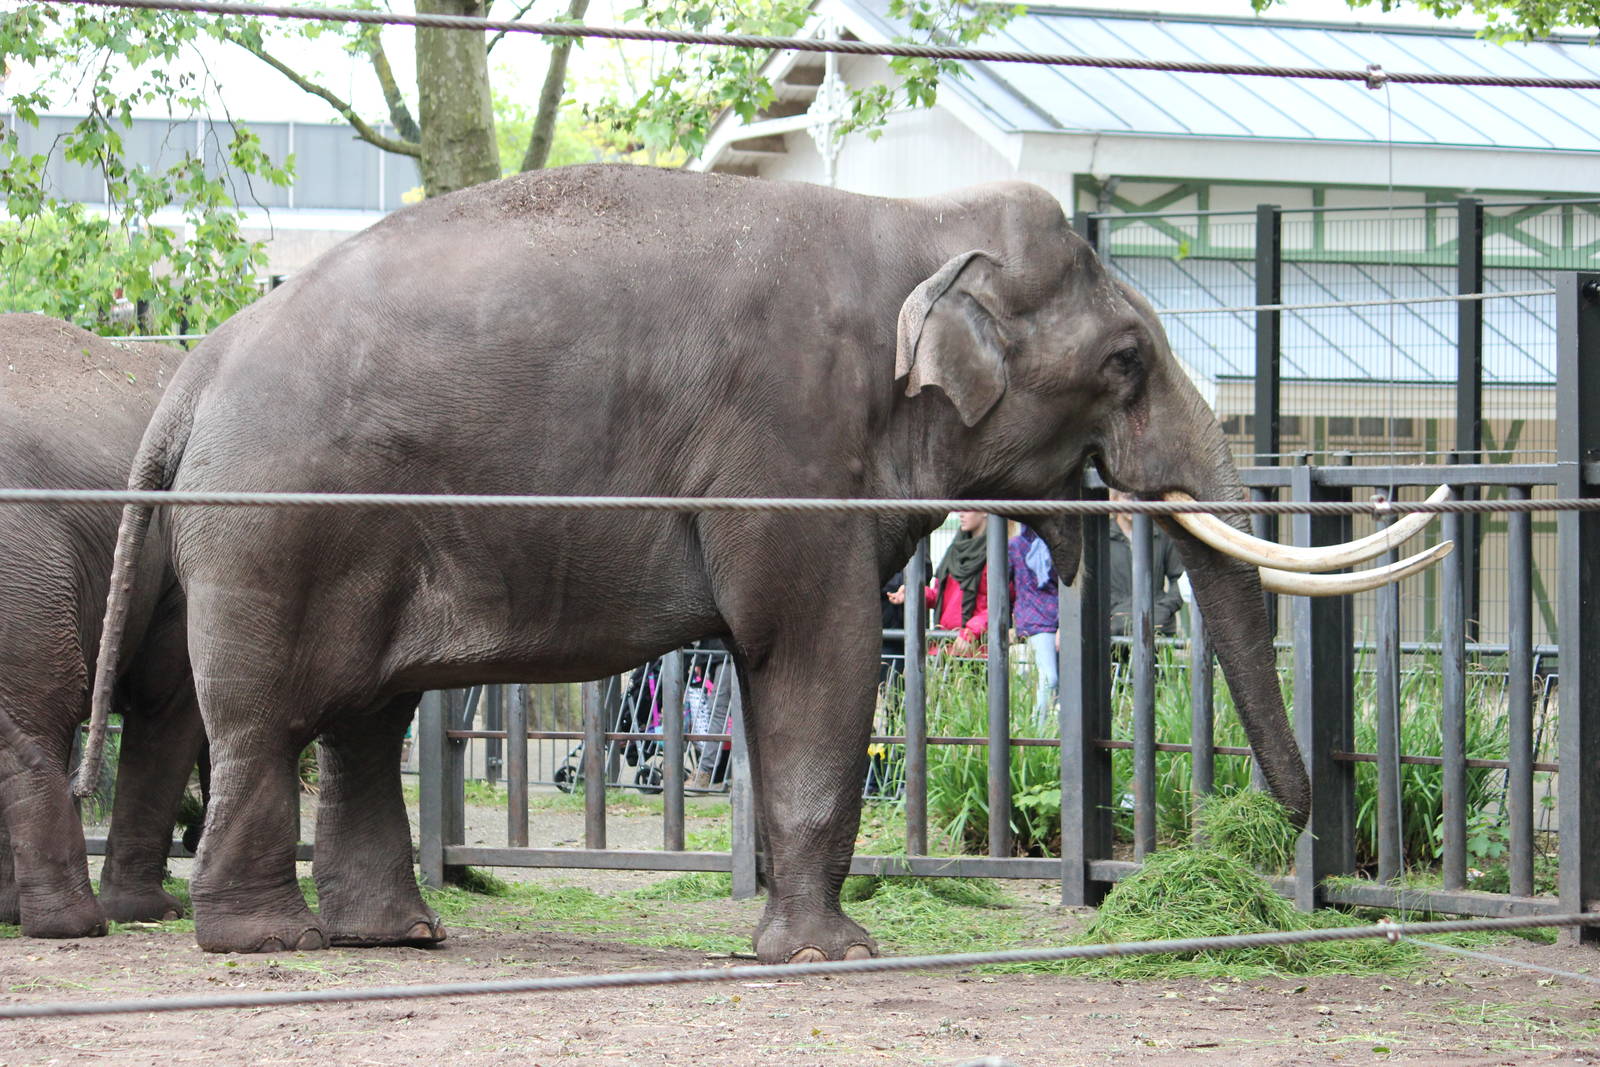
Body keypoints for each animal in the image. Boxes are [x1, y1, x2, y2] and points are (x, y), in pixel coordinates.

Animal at [0, 313, 204, 937]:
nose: (195, 833)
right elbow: (170, 702)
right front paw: (155, 912)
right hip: (28, 566)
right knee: (39, 718)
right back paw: (78, 924)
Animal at [84, 165, 1441, 959]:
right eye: (1122, 362)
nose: (1278, 834)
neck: (915, 224)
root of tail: (197, 368)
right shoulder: (782, 438)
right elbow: (813, 647)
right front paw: (834, 957)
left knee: (366, 716)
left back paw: (399, 937)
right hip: (277, 522)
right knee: (267, 718)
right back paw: (268, 940)